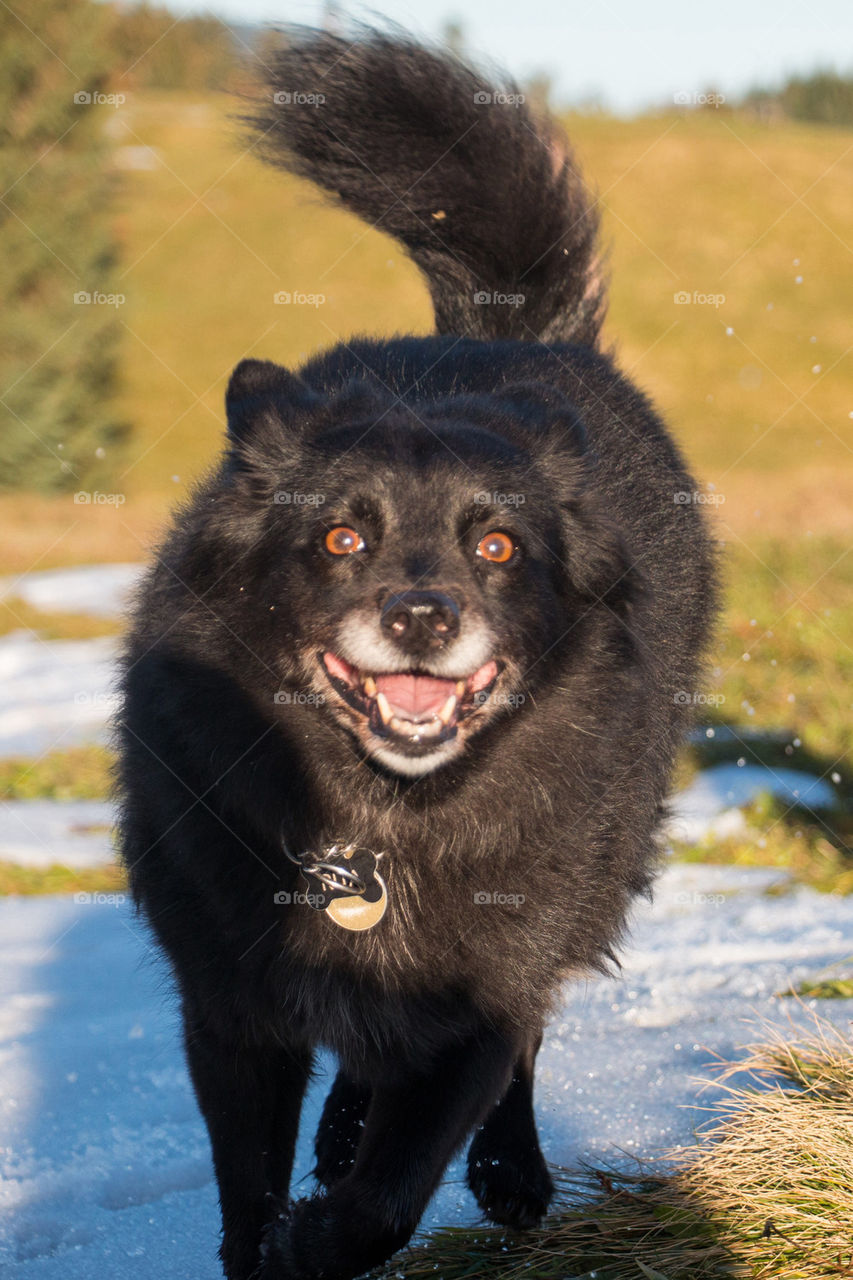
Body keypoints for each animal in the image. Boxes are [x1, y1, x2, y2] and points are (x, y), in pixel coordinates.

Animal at [116, 27, 712, 1280]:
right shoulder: (228, 1002)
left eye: (495, 545)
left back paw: (508, 1167)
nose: (425, 615)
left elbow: (395, 1187)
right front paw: (275, 1232)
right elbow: (247, 1179)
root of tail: (501, 331)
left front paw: (327, 1229)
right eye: (343, 537)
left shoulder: (489, 977)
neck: (380, 826)